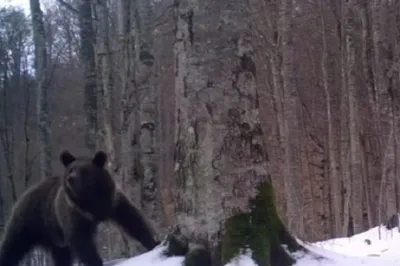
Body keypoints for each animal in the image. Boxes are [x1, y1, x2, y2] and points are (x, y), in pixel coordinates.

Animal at [0, 150, 159, 266]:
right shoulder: (73, 213)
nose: (71, 178)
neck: (92, 202)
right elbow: (81, 241)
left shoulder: (114, 202)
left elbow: (133, 221)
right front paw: (95, 262)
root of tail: (26, 193)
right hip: (30, 222)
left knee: (61, 255)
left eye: (84, 170)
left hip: (55, 236)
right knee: (12, 245)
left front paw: (153, 242)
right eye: (71, 169)